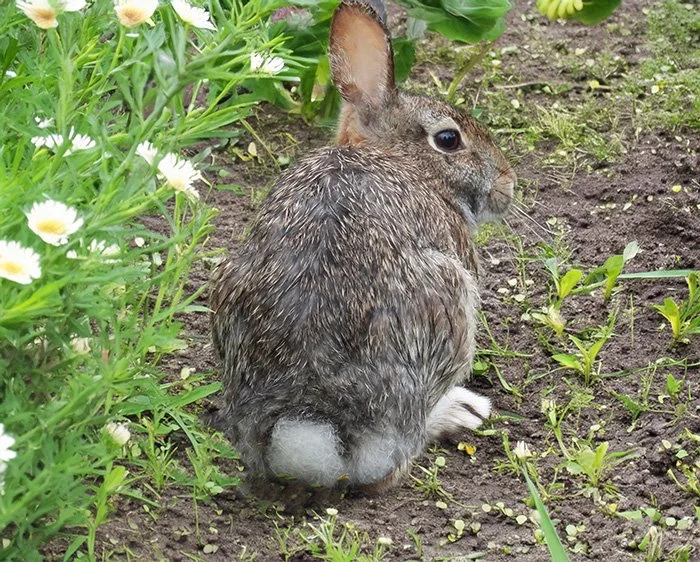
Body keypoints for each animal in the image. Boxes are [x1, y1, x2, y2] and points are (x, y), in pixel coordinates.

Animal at [209, 0, 516, 493]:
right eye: (449, 139)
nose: (509, 184)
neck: (395, 158)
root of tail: (311, 421)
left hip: (227, 276)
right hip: (449, 298)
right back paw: (457, 412)